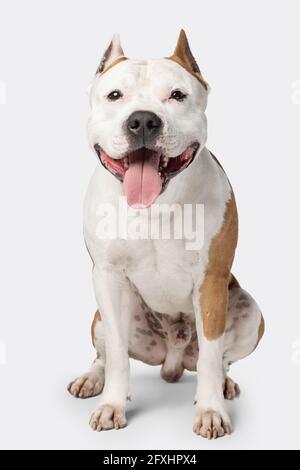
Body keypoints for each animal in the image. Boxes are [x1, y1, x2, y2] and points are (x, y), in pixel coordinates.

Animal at [68, 31, 264, 438]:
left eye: (177, 95)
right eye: (115, 95)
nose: (143, 120)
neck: (156, 205)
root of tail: (171, 359)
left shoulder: (211, 281)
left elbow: (210, 355)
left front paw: (211, 411)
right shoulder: (107, 277)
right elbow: (116, 356)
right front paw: (111, 405)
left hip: (250, 311)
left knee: (220, 358)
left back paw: (224, 384)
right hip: (102, 315)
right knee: (104, 353)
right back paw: (91, 379)